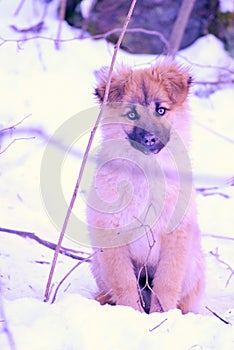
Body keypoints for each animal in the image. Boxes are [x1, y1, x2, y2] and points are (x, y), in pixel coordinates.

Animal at [86, 58, 205, 314]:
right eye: (131, 114)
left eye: (161, 110)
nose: (150, 139)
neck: (147, 172)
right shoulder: (112, 237)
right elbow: (124, 283)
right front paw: (132, 313)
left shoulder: (175, 237)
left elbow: (166, 283)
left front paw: (164, 315)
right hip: (98, 264)